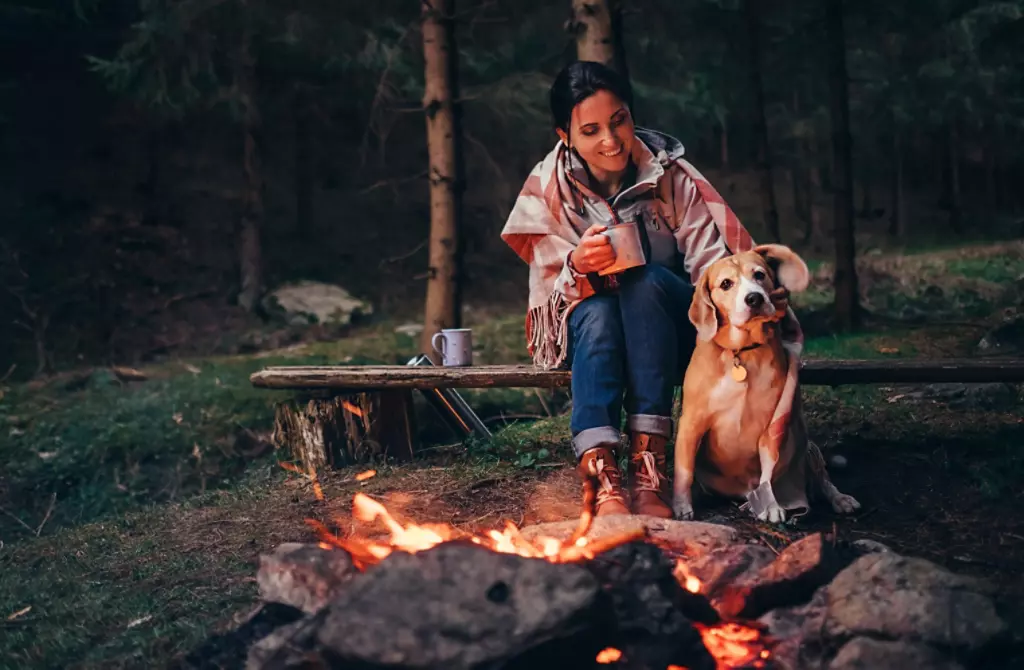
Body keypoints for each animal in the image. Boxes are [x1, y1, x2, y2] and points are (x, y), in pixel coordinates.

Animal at [675, 243, 860, 528]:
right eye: (726, 283)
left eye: (759, 275)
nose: (754, 298)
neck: (742, 353)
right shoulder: (692, 423)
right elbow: (684, 470)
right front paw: (681, 507)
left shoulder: (772, 427)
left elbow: (768, 473)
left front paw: (772, 506)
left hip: (807, 446)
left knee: (823, 481)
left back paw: (840, 499)